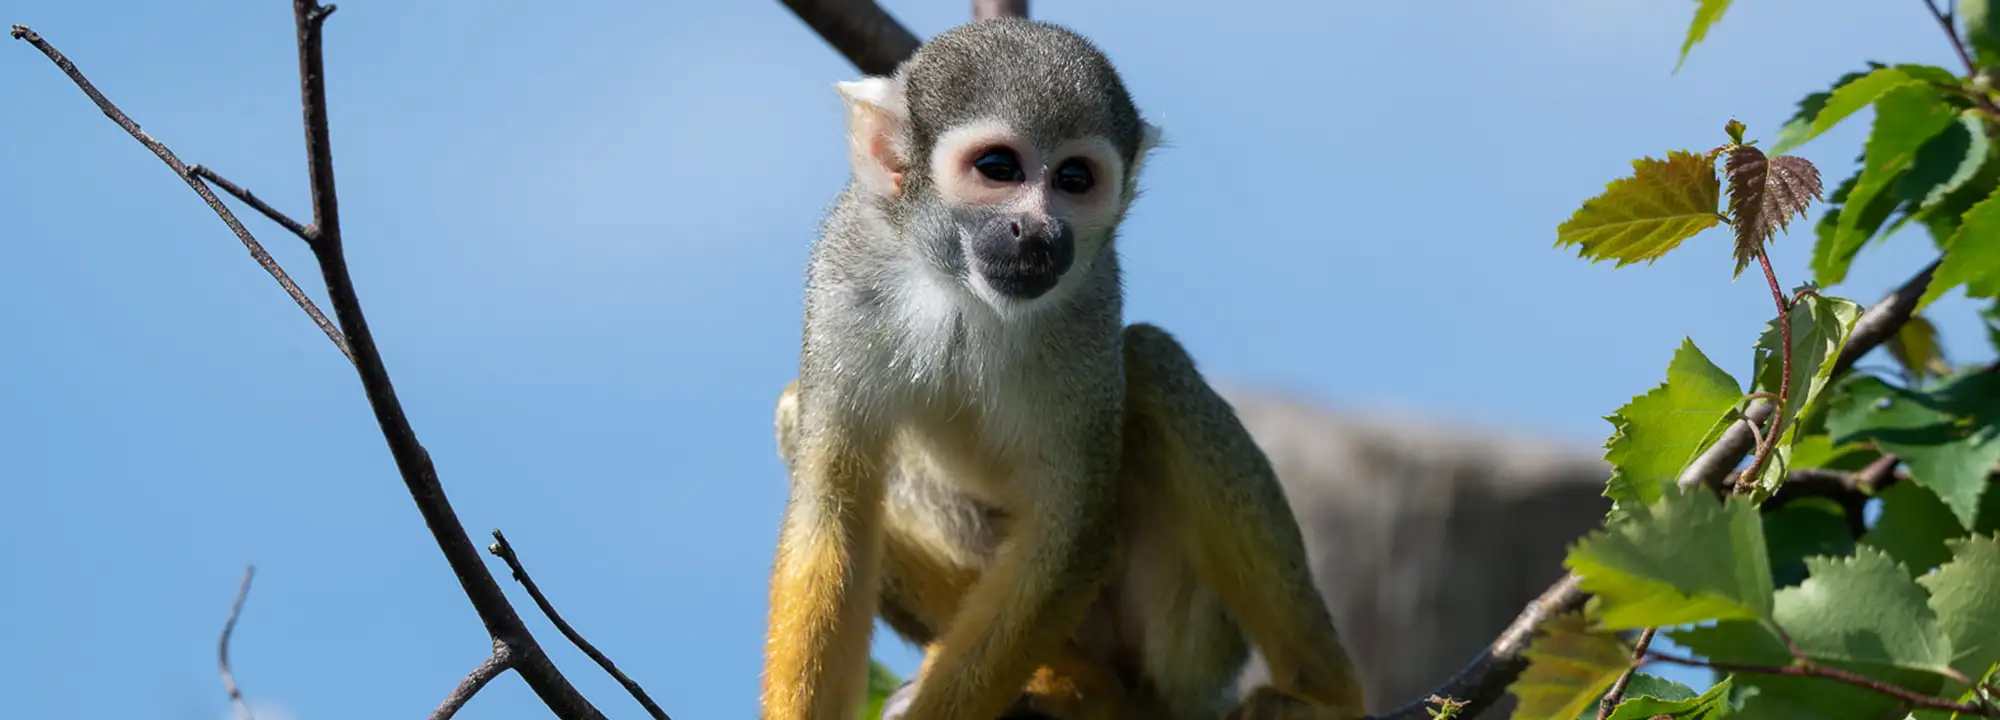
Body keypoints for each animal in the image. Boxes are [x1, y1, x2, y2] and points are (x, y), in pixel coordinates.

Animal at [761, 18, 1367, 720]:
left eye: (1075, 179)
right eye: (998, 169)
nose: (1037, 230)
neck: (960, 292)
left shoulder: (1091, 302)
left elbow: (1070, 533)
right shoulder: (846, 270)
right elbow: (833, 512)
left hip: (1188, 645)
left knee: (1151, 363)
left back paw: (1322, 691)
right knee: (799, 417)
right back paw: (1071, 683)